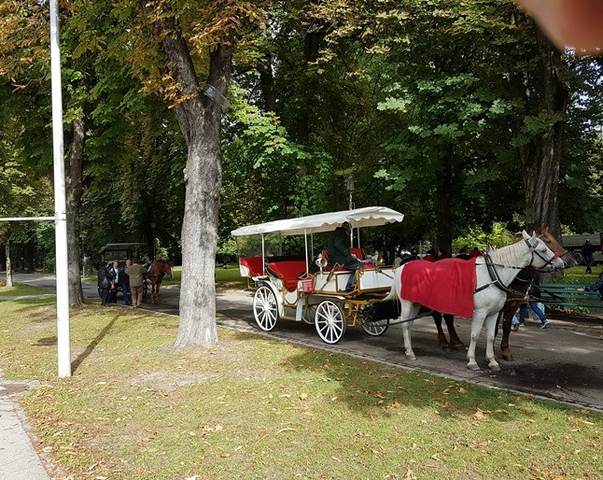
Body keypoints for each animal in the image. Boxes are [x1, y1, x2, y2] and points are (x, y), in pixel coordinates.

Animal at [386, 232, 568, 372]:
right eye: (544, 249)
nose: (562, 263)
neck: (492, 275)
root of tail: (402, 267)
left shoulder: (494, 313)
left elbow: (490, 336)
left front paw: (492, 361)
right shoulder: (480, 312)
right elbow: (474, 335)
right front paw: (472, 361)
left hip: (416, 303)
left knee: (411, 325)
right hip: (407, 303)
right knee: (406, 324)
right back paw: (411, 351)